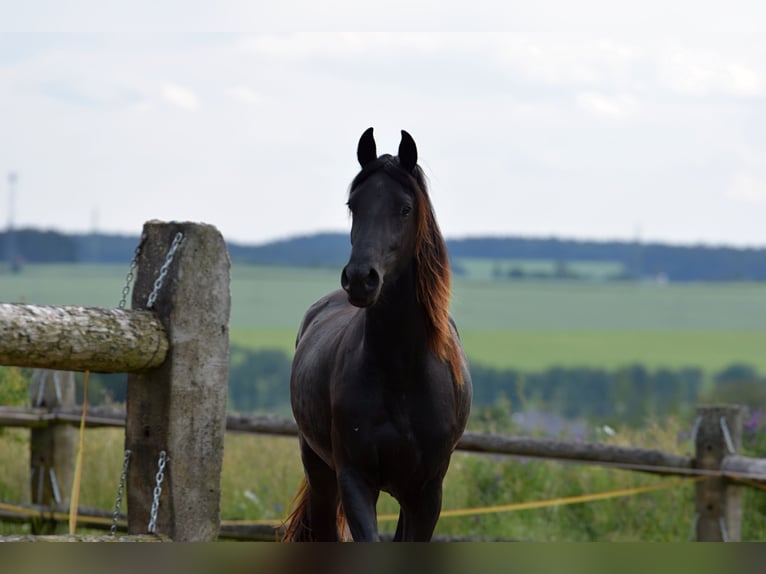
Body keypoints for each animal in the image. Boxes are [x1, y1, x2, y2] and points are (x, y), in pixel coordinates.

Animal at [284, 128, 472, 544]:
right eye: (353, 205)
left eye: (405, 208)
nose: (360, 278)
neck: (400, 372)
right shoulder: (356, 480)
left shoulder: (426, 493)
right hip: (320, 471)